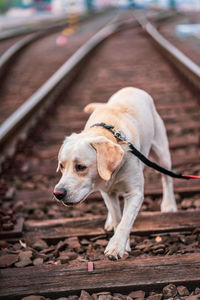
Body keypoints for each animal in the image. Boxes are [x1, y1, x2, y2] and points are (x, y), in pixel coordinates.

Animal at [53, 86, 177, 258]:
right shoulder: (106, 191)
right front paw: (122, 241)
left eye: (80, 167)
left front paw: (116, 246)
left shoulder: (135, 193)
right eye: (61, 166)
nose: (57, 193)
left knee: (167, 178)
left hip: (162, 152)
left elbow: (126, 221)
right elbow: (118, 217)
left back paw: (169, 204)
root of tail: (132, 88)